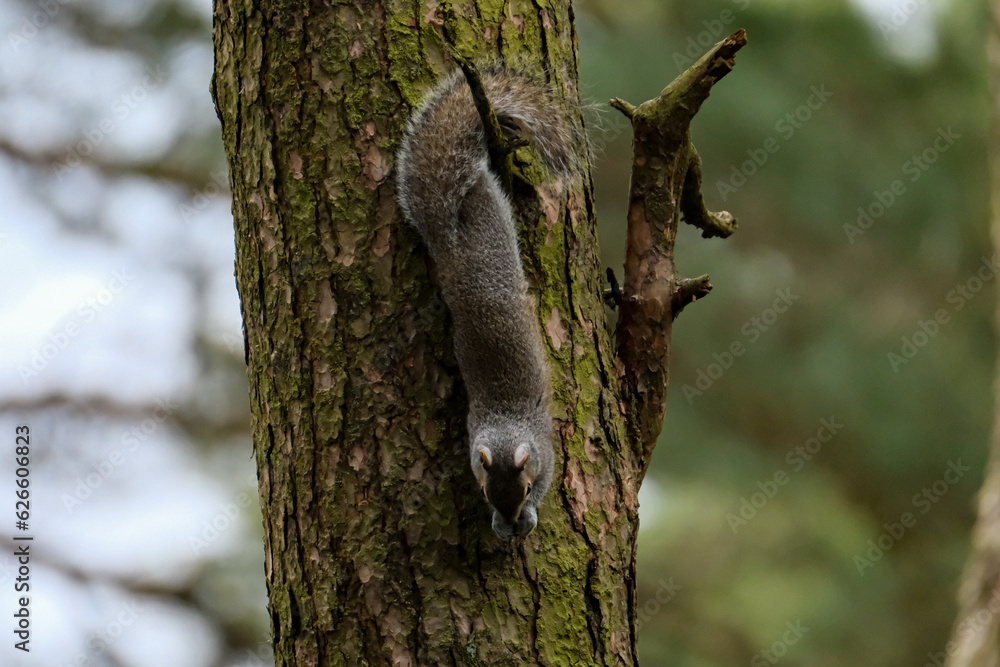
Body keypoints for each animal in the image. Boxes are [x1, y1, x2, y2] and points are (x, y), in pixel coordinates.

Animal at [396, 66, 573, 538]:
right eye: (483, 489)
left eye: (526, 489)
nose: (509, 519)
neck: (506, 427)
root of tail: (447, 237)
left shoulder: (547, 452)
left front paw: (528, 518)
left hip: (491, 212)